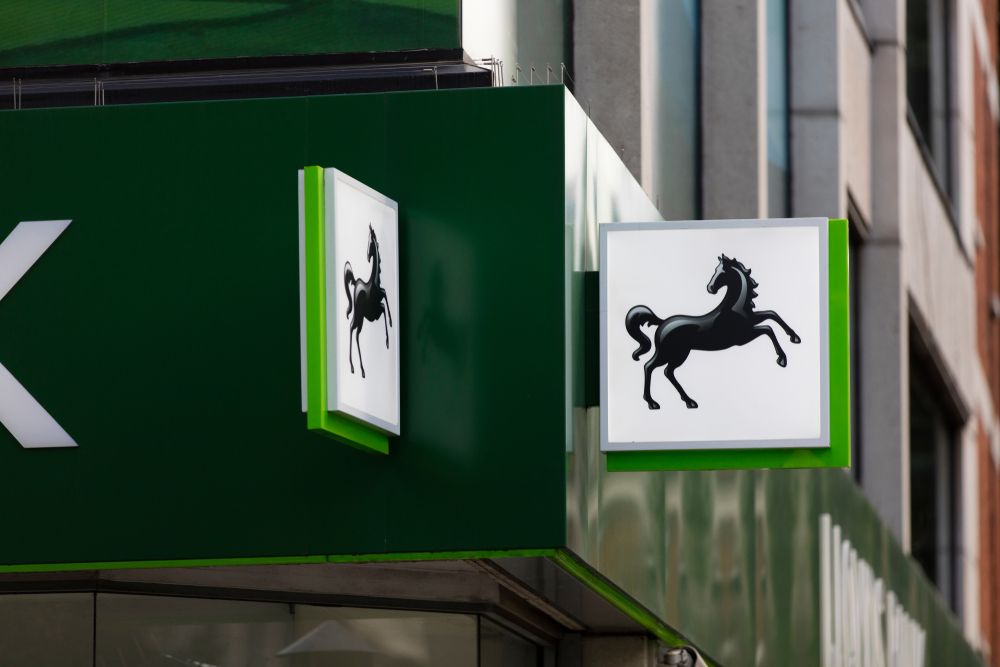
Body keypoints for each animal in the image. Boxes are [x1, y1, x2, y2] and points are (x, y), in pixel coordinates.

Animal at [344, 227, 390, 378]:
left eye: (370, 242)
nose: (368, 257)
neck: (374, 281)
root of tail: (354, 283)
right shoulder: (375, 310)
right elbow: (384, 305)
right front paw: (387, 340)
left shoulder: (378, 301)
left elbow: (385, 296)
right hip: (360, 316)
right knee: (353, 330)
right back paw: (358, 368)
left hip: (360, 317)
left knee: (354, 332)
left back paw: (357, 368)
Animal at [628, 256, 800, 410]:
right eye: (716, 270)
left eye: (721, 272)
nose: (710, 288)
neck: (734, 307)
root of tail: (662, 322)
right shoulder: (743, 336)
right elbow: (768, 329)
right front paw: (782, 359)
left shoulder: (751, 321)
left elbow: (772, 314)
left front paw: (795, 337)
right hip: (669, 353)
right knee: (649, 367)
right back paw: (653, 403)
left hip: (677, 354)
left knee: (667, 372)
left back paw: (688, 401)